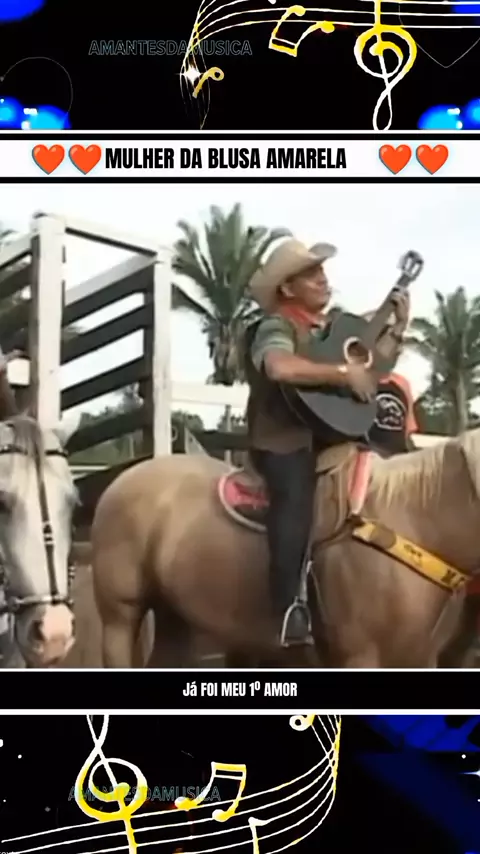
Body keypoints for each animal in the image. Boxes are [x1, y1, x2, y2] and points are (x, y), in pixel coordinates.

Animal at [90, 428, 480, 669]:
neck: (412, 520)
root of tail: (123, 479)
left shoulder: (422, 658)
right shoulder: (361, 656)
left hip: (173, 613)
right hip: (120, 615)